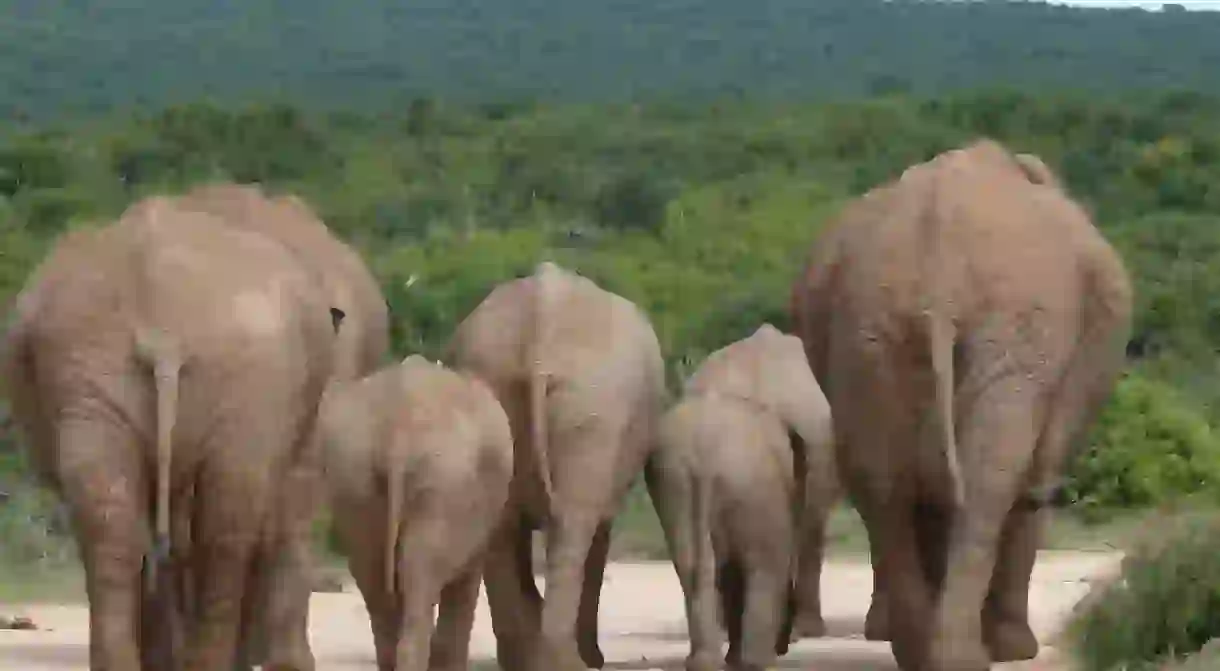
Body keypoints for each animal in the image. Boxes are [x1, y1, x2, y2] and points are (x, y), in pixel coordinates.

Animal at [446, 259, 663, 671]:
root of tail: (543, 314)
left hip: (504, 390)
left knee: (508, 526)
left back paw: (530, 659)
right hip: (593, 408)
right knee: (572, 526)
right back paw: (570, 661)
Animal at [649, 326, 839, 671]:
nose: (784, 645)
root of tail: (707, 449)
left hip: (676, 477)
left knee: (692, 562)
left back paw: (707, 661)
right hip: (750, 478)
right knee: (767, 560)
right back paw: (759, 658)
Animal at [790, 137, 1132, 671]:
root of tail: (939, 261)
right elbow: (1032, 482)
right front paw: (1015, 650)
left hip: (868, 331)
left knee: (882, 481)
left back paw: (922, 651)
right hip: (1013, 326)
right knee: (991, 480)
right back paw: (968, 655)